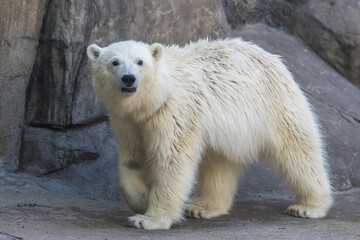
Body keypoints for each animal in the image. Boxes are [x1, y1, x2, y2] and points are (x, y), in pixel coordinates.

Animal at [86, 38, 332, 230]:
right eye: (114, 62)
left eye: (140, 62)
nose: (128, 78)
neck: (158, 95)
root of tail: (274, 59)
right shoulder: (128, 120)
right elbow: (132, 158)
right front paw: (142, 201)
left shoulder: (175, 111)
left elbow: (172, 159)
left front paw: (148, 220)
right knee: (219, 163)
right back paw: (202, 207)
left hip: (274, 105)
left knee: (298, 150)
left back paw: (309, 207)